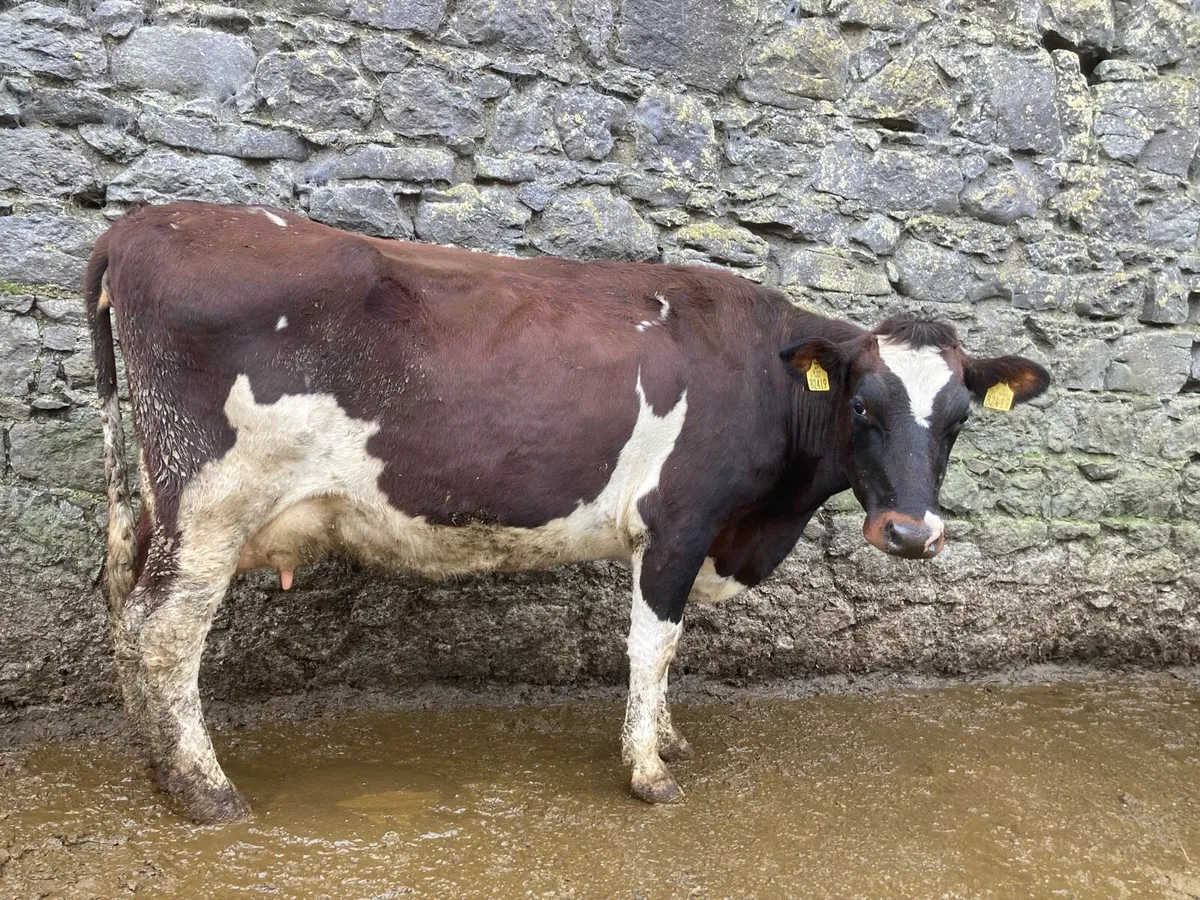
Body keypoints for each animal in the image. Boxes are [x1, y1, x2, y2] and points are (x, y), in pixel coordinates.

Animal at [84, 201, 1050, 824]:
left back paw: (157, 766)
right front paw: (648, 771)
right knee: (163, 632)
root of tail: (143, 225)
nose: (913, 533)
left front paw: (667, 739)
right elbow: (654, 642)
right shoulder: (679, 521)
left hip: (161, 501)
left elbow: (671, 647)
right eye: (862, 405)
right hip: (211, 500)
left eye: (959, 419)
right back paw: (205, 792)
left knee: (126, 608)